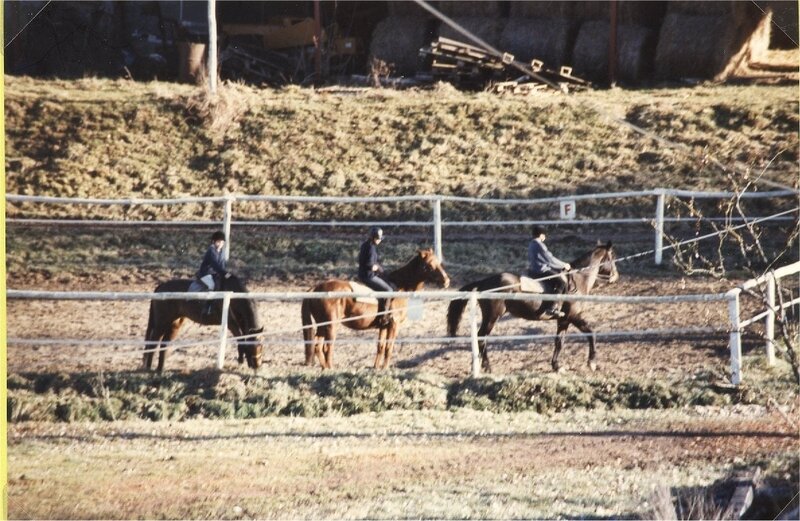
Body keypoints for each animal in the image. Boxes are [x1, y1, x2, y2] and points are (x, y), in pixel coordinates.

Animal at [300, 249, 450, 368]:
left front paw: (376, 368)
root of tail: (316, 288)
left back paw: (324, 368)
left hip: (322, 325)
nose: (446, 281)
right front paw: (385, 368)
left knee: (317, 346)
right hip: (331, 326)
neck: (399, 287)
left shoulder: (384, 326)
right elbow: (389, 347)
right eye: (429, 265)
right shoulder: (394, 325)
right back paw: (330, 368)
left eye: (438, 263)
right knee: (327, 348)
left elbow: (381, 347)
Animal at [450, 242, 620, 372]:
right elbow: (591, 334)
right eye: (612, 258)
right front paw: (592, 363)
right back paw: (487, 367)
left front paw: (556, 366)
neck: (578, 280)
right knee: (481, 337)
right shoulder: (573, 316)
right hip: (492, 316)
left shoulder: (563, 320)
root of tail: (484, 282)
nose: (615, 277)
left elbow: (559, 342)